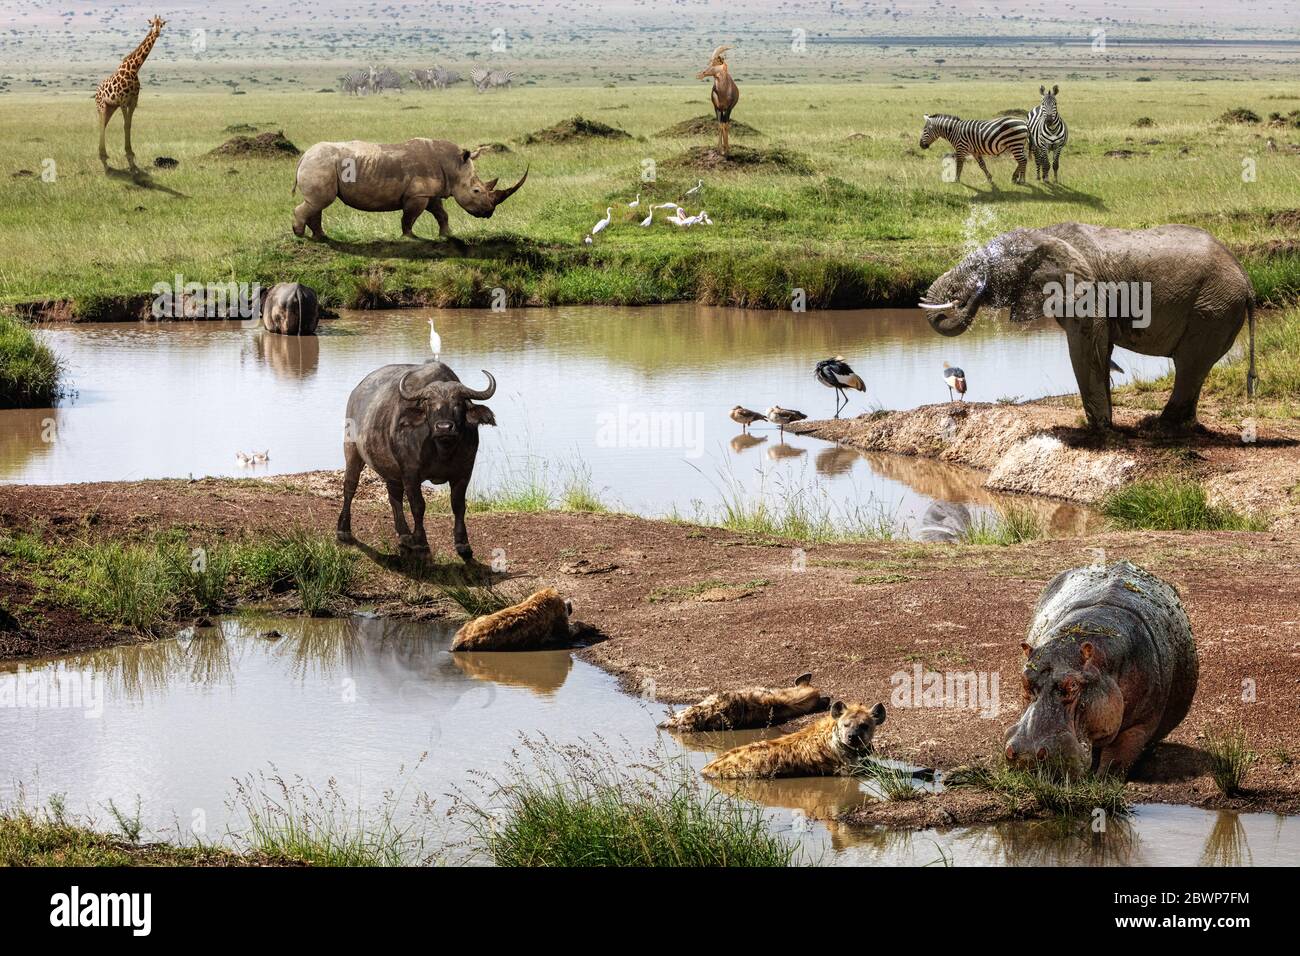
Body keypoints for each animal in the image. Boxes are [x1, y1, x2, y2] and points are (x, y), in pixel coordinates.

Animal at [96, 15, 166, 169]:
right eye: (152, 24)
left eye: (161, 25)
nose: (157, 32)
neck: (134, 69)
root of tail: (96, 91)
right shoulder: (123, 101)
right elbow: (125, 124)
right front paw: (128, 152)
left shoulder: (133, 101)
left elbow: (128, 125)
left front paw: (130, 151)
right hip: (101, 106)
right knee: (101, 124)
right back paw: (102, 153)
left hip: (111, 106)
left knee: (104, 124)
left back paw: (102, 152)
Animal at [335, 361, 496, 561]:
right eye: (429, 403)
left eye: (458, 403)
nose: (444, 427)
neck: (441, 449)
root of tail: (356, 392)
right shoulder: (411, 473)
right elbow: (418, 506)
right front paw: (421, 543)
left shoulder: (464, 472)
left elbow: (458, 505)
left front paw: (463, 544)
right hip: (352, 450)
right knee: (350, 486)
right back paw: (344, 530)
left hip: (391, 470)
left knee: (394, 496)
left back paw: (405, 535)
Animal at [920, 223, 1253, 429]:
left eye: (987, 268)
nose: (977, 290)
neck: (1044, 235)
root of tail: (1247, 280)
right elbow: (1101, 350)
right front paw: (1106, 423)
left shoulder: (1087, 292)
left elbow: (1085, 346)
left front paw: (1099, 428)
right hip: (1219, 307)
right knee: (1195, 366)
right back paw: (1180, 425)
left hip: (1212, 307)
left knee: (1188, 363)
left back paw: (1161, 425)